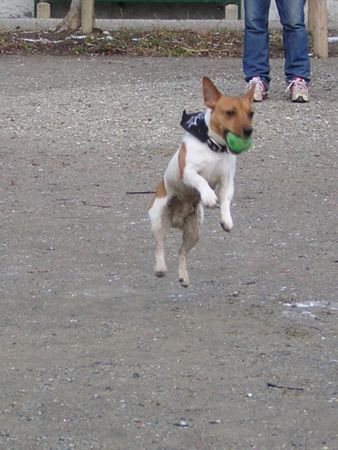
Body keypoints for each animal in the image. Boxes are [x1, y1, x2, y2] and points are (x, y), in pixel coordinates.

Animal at [148, 75, 254, 286]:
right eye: (230, 112)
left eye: (251, 113)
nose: (248, 131)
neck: (214, 148)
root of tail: (176, 220)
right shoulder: (188, 172)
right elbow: (201, 181)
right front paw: (209, 197)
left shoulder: (227, 182)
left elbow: (226, 201)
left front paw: (226, 219)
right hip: (158, 220)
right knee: (160, 245)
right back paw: (160, 268)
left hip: (194, 231)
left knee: (181, 252)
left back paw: (183, 276)